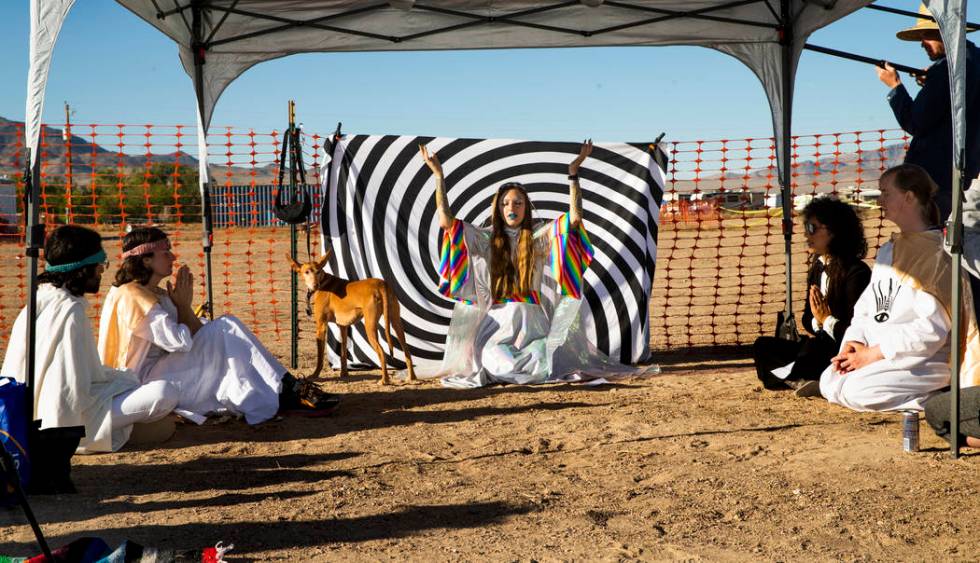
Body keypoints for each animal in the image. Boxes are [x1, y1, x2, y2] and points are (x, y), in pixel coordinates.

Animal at [288, 252, 418, 388]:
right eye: (307, 272)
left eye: (318, 271)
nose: (315, 285)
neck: (324, 282)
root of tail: (382, 284)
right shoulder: (343, 327)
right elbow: (343, 353)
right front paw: (344, 374)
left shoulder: (321, 325)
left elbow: (320, 356)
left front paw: (315, 375)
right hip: (396, 322)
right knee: (406, 350)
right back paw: (412, 378)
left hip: (370, 325)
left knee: (382, 352)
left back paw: (384, 380)